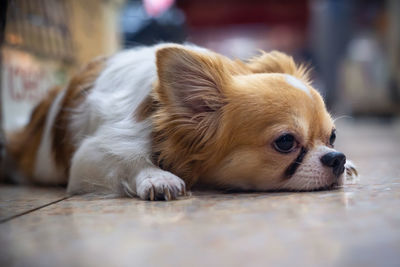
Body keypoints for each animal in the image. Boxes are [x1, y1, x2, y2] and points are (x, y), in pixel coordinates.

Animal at [5, 43, 356, 201]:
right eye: (285, 142)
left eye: (333, 137)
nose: (337, 159)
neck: (165, 112)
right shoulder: (90, 156)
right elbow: (128, 159)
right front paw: (157, 177)